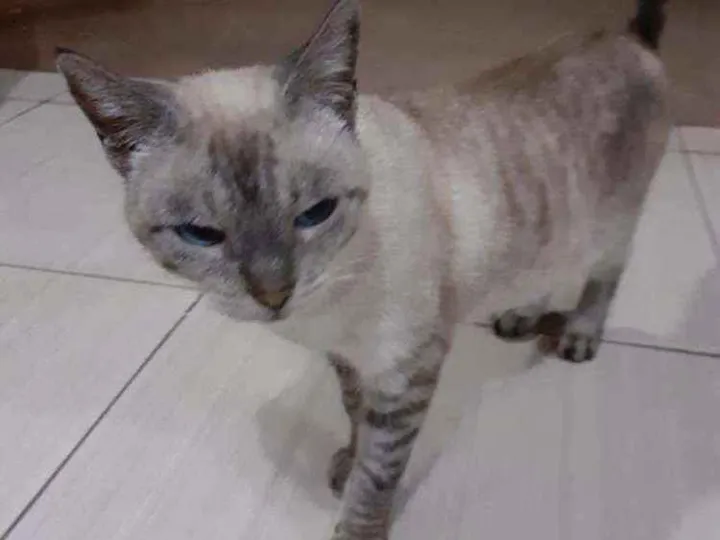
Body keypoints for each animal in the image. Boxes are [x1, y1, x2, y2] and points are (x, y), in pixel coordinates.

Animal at [56, 0, 670, 538]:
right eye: (202, 234)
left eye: (316, 213)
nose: (274, 293)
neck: (331, 305)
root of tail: (626, 36)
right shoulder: (350, 362)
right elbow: (355, 419)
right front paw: (346, 464)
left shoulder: (403, 372)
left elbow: (378, 474)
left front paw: (357, 525)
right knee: (545, 272)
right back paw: (519, 314)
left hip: (611, 225)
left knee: (603, 277)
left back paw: (579, 334)